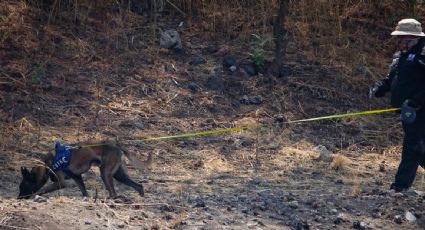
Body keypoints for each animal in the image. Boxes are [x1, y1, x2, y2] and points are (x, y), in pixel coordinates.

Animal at [17, 140, 152, 199]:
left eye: (22, 186)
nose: (18, 198)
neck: (46, 166)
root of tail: (116, 144)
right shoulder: (77, 177)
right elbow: (84, 191)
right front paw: (86, 198)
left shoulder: (61, 183)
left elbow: (42, 189)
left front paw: (35, 195)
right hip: (119, 175)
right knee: (139, 186)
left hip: (105, 173)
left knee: (113, 193)